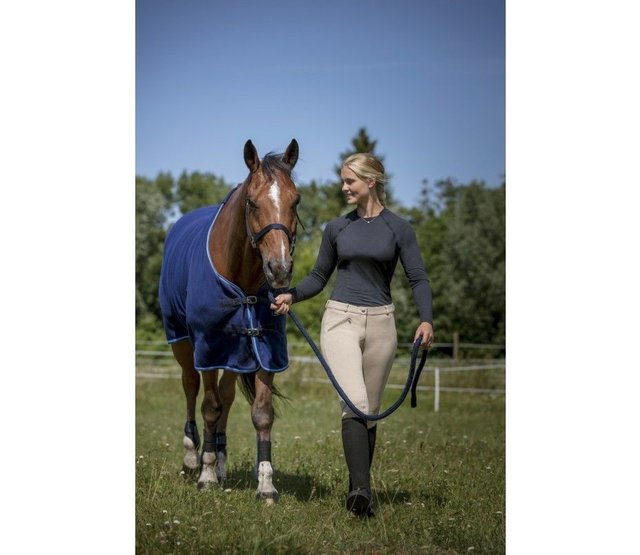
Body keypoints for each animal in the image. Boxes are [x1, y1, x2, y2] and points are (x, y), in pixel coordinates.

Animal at [158, 139, 300, 503]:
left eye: (296, 200)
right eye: (251, 202)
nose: (279, 269)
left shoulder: (264, 349)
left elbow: (260, 414)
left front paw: (266, 485)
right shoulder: (207, 347)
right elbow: (209, 406)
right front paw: (206, 475)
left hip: (235, 353)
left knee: (227, 396)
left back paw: (221, 459)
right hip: (183, 344)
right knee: (191, 388)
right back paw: (192, 457)